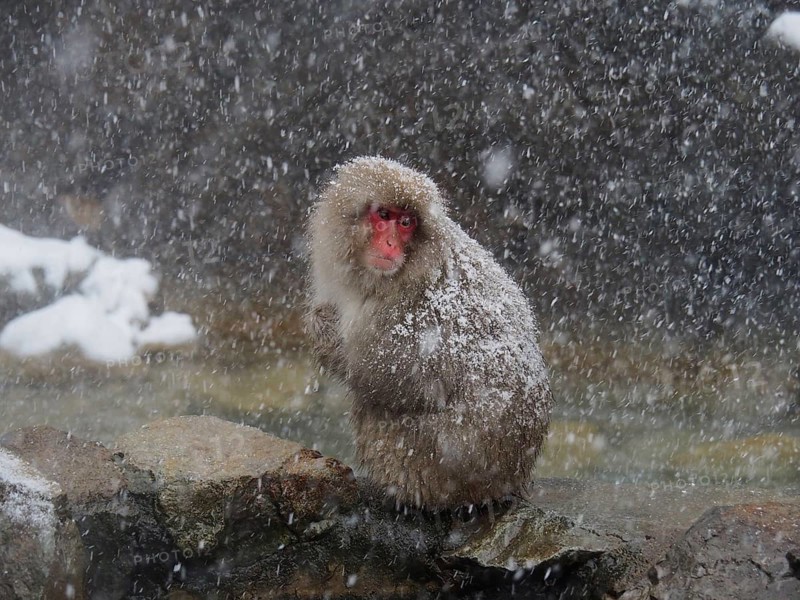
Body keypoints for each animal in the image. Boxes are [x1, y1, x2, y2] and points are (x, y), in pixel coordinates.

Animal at [306, 156, 552, 510]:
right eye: (384, 216)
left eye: (407, 222)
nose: (391, 244)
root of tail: (510, 481)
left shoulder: (408, 306)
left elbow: (398, 375)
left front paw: (323, 330)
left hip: (436, 467)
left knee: (379, 411)